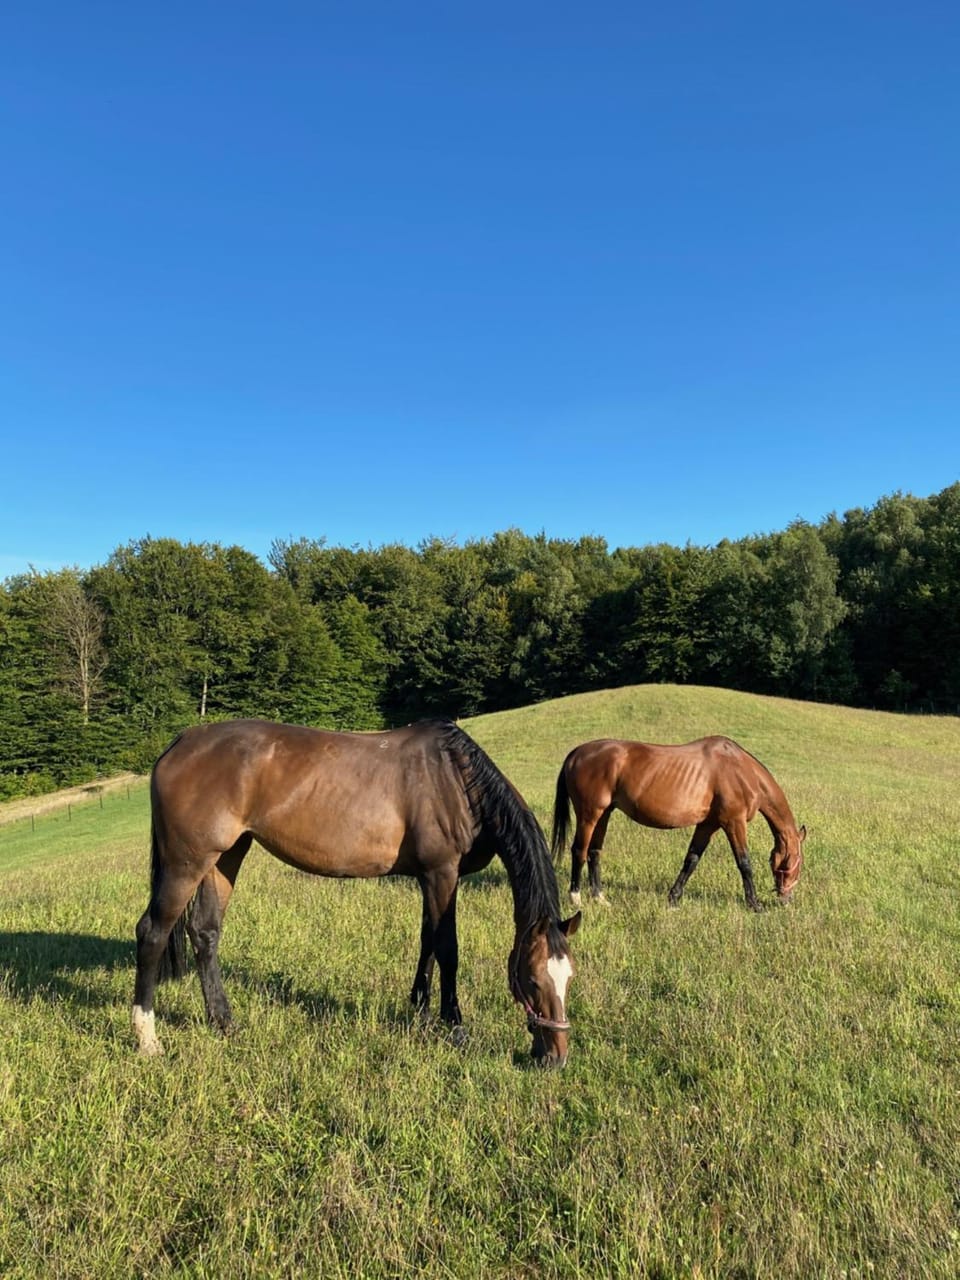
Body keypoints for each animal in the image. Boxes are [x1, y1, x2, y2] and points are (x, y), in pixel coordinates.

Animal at [132, 718, 580, 1067]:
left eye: (569, 977)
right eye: (532, 978)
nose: (555, 1056)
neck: (456, 781)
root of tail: (182, 741)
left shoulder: (427, 878)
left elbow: (427, 943)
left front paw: (419, 1010)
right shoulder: (442, 873)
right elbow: (448, 949)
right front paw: (454, 1026)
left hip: (223, 857)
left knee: (204, 932)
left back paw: (224, 1023)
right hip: (186, 862)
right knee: (152, 932)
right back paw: (148, 1038)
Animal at [551, 735, 805, 911]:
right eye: (798, 861)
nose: (787, 899)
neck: (741, 770)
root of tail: (577, 753)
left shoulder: (708, 825)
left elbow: (691, 860)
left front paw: (673, 898)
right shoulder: (734, 822)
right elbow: (744, 863)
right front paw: (755, 904)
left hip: (604, 814)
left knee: (594, 852)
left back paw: (600, 898)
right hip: (589, 814)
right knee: (579, 851)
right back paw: (575, 898)